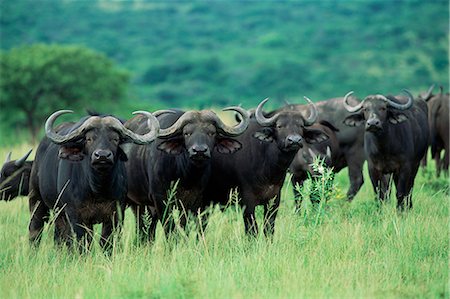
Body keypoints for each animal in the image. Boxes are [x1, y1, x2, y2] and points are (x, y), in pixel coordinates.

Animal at [27, 109, 159, 248]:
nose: (102, 156)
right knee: (35, 231)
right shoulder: (76, 216)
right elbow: (83, 244)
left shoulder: (115, 214)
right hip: (36, 200)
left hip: (59, 213)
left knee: (60, 237)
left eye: (115, 139)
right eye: (89, 139)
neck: (98, 189)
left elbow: (106, 242)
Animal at [124, 106, 250, 240]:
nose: (199, 151)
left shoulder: (197, 202)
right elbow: (169, 227)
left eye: (211, 133)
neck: (185, 176)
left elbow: (189, 226)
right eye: (187, 133)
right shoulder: (160, 199)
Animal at [206, 98, 328, 237]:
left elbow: (269, 227)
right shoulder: (247, 202)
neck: (268, 169)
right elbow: (252, 230)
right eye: (279, 126)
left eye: (301, 126)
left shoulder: (274, 199)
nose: (294, 140)